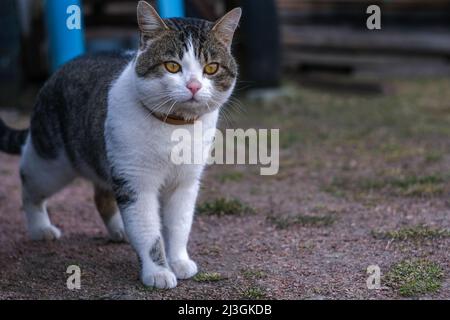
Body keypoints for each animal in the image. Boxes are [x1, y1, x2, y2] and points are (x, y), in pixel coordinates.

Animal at [0, 0, 241, 290]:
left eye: (211, 68)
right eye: (172, 67)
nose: (193, 86)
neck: (174, 127)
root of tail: (60, 69)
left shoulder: (184, 182)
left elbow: (179, 226)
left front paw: (179, 261)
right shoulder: (136, 181)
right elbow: (148, 231)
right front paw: (158, 271)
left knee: (102, 196)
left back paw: (120, 230)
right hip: (51, 164)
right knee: (29, 182)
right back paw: (40, 228)